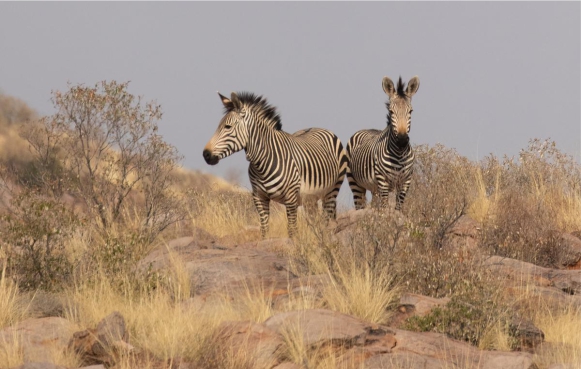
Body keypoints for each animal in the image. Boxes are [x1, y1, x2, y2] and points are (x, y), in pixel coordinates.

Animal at [202, 90, 346, 237]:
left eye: (228, 127)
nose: (205, 154)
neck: (262, 164)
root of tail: (316, 127)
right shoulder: (259, 197)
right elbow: (264, 230)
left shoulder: (291, 198)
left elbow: (292, 230)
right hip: (310, 199)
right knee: (315, 223)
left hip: (331, 192)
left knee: (327, 222)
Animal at [346, 75, 420, 210]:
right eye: (391, 111)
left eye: (411, 111)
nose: (402, 140)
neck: (399, 153)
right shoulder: (383, 182)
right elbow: (384, 210)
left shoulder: (405, 182)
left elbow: (398, 209)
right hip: (355, 183)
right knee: (360, 205)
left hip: (374, 189)